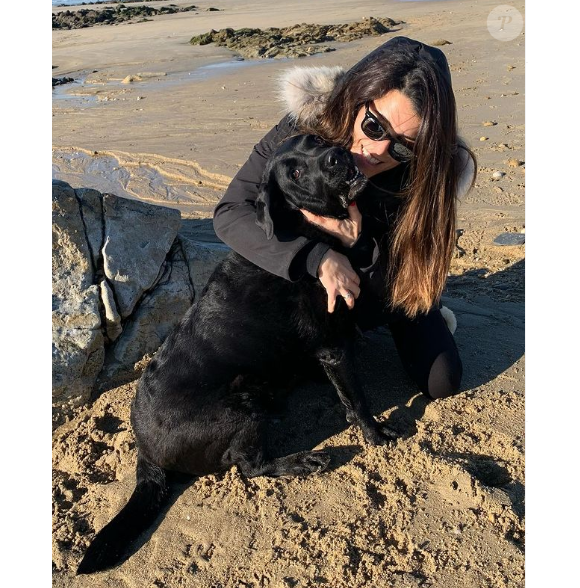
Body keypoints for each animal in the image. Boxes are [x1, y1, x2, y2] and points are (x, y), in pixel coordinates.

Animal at [77, 133, 394, 576]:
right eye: (296, 173)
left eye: (314, 141)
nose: (336, 157)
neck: (304, 228)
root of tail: (146, 454)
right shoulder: (333, 346)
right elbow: (358, 399)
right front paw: (375, 433)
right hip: (241, 409)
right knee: (249, 466)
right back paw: (303, 461)